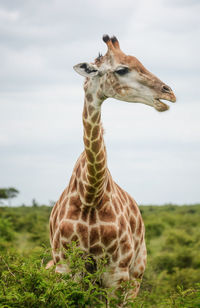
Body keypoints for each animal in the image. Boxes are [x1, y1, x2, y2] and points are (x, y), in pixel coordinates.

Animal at [47, 35, 175, 300]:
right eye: (122, 69)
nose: (169, 94)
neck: (90, 194)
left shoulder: (117, 273)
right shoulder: (66, 268)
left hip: (136, 274)